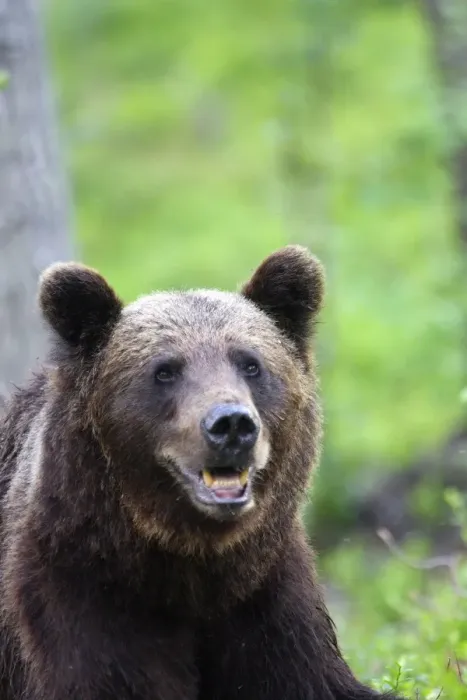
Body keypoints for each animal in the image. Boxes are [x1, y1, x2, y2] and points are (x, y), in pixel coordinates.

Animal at [0, 246, 402, 700]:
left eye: (250, 364)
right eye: (165, 370)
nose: (231, 424)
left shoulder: (266, 594)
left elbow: (312, 677)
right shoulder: (80, 590)